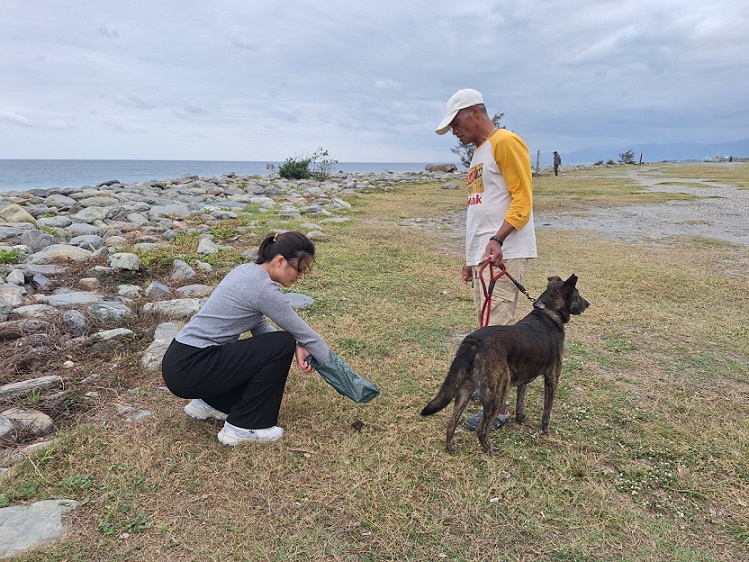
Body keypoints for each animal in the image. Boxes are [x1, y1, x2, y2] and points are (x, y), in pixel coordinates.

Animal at [420, 274, 592, 452]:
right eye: (578, 295)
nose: (588, 304)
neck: (547, 312)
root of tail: (474, 341)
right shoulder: (552, 378)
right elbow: (547, 411)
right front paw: (545, 431)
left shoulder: (523, 380)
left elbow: (520, 402)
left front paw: (520, 419)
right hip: (497, 393)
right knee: (481, 429)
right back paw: (490, 450)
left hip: (465, 391)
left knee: (451, 423)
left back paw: (450, 447)